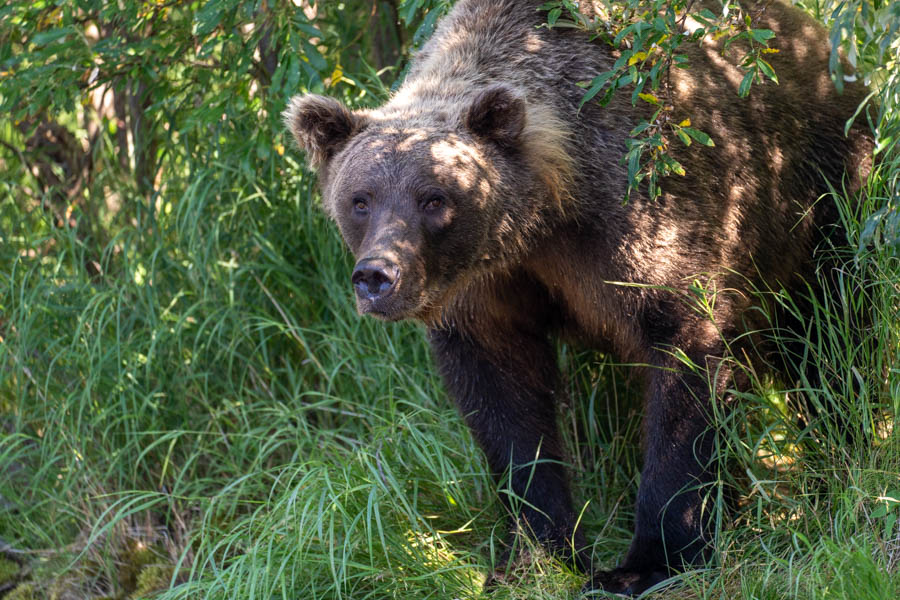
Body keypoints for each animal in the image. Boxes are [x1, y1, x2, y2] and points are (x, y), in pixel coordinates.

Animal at [284, 0, 872, 594]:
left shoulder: (642, 223)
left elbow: (684, 362)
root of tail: (823, 42)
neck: (544, 215)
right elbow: (508, 411)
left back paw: (838, 464)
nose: (377, 276)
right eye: (360, 199)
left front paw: (648, 561)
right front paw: (533, 555)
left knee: (826, 336)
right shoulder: (485, 295)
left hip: (816, 201)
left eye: (434, 198)